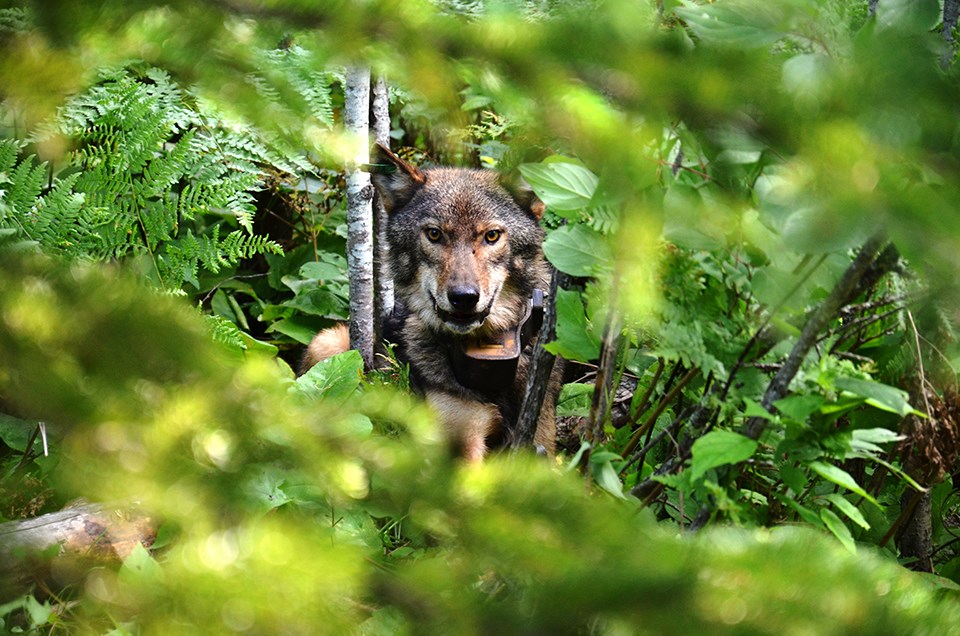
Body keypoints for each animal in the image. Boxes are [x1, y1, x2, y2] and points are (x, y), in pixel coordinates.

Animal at [296, 146, 560, 460]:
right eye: (434, 234)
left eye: (492, 235)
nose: (463, 298)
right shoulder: (462, 437)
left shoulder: (541, 435)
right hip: (327, 343)